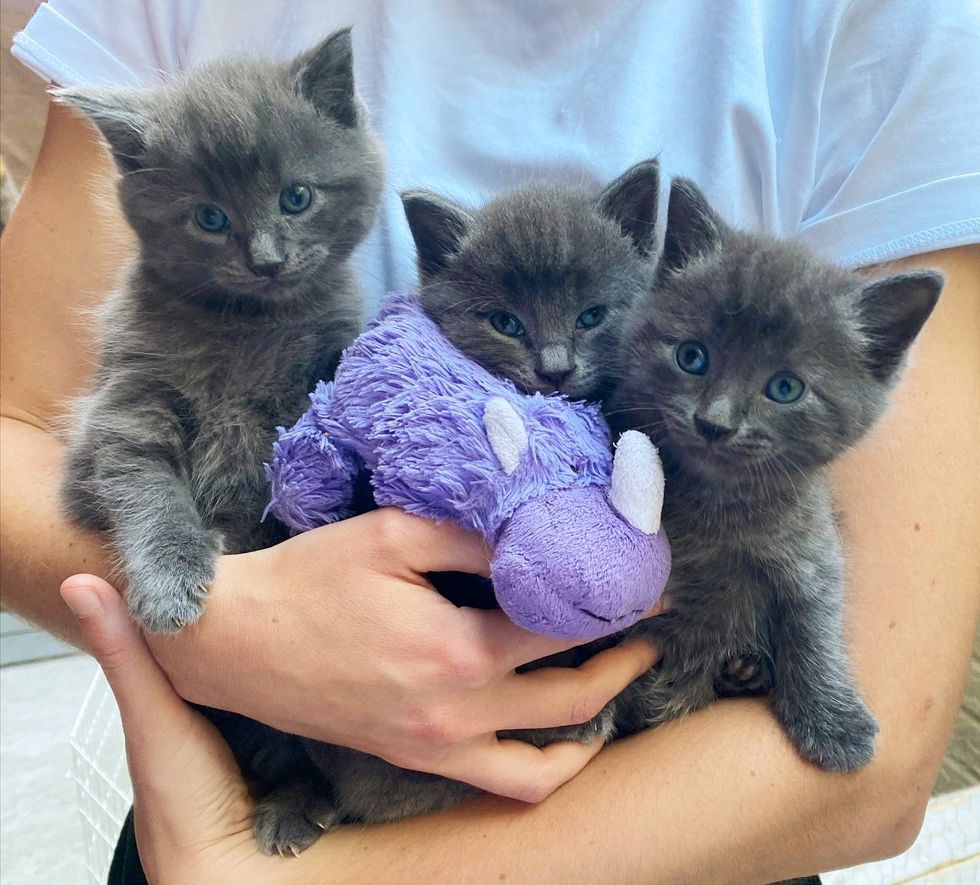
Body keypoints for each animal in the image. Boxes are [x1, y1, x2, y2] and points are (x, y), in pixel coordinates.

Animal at [55, 29, 380, 636]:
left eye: (296, 197)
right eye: (210, 218)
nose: (266, 261)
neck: (248, 323)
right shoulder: (129, 396)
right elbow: (143, 482)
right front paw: (167, 581)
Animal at [604, 176, 940, 772]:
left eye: (785, 388)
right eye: (692, 356)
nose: (714, 423)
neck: (717, 506)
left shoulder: (810, 550)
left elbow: (815, 623)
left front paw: (835, 724)